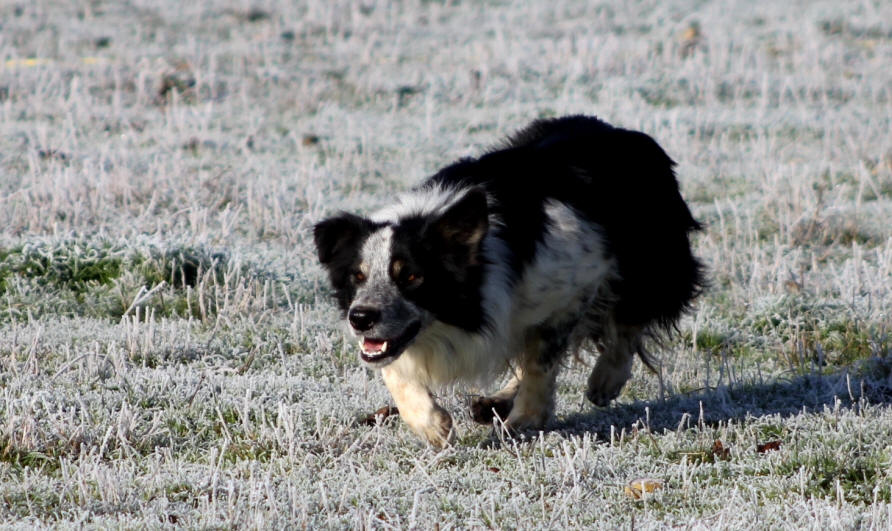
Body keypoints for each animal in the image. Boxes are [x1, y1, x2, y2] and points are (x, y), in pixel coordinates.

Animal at [314, 114, 704, 446]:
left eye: (411, 276)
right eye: (357, 276)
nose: (360, 318)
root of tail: (625, 134)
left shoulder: (576, 284)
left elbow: (542, 359)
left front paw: (526, 420)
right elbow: (393, 368)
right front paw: (432, 424)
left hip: (650, 257)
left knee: (630, 316)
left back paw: (604, 379)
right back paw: (495, 401)